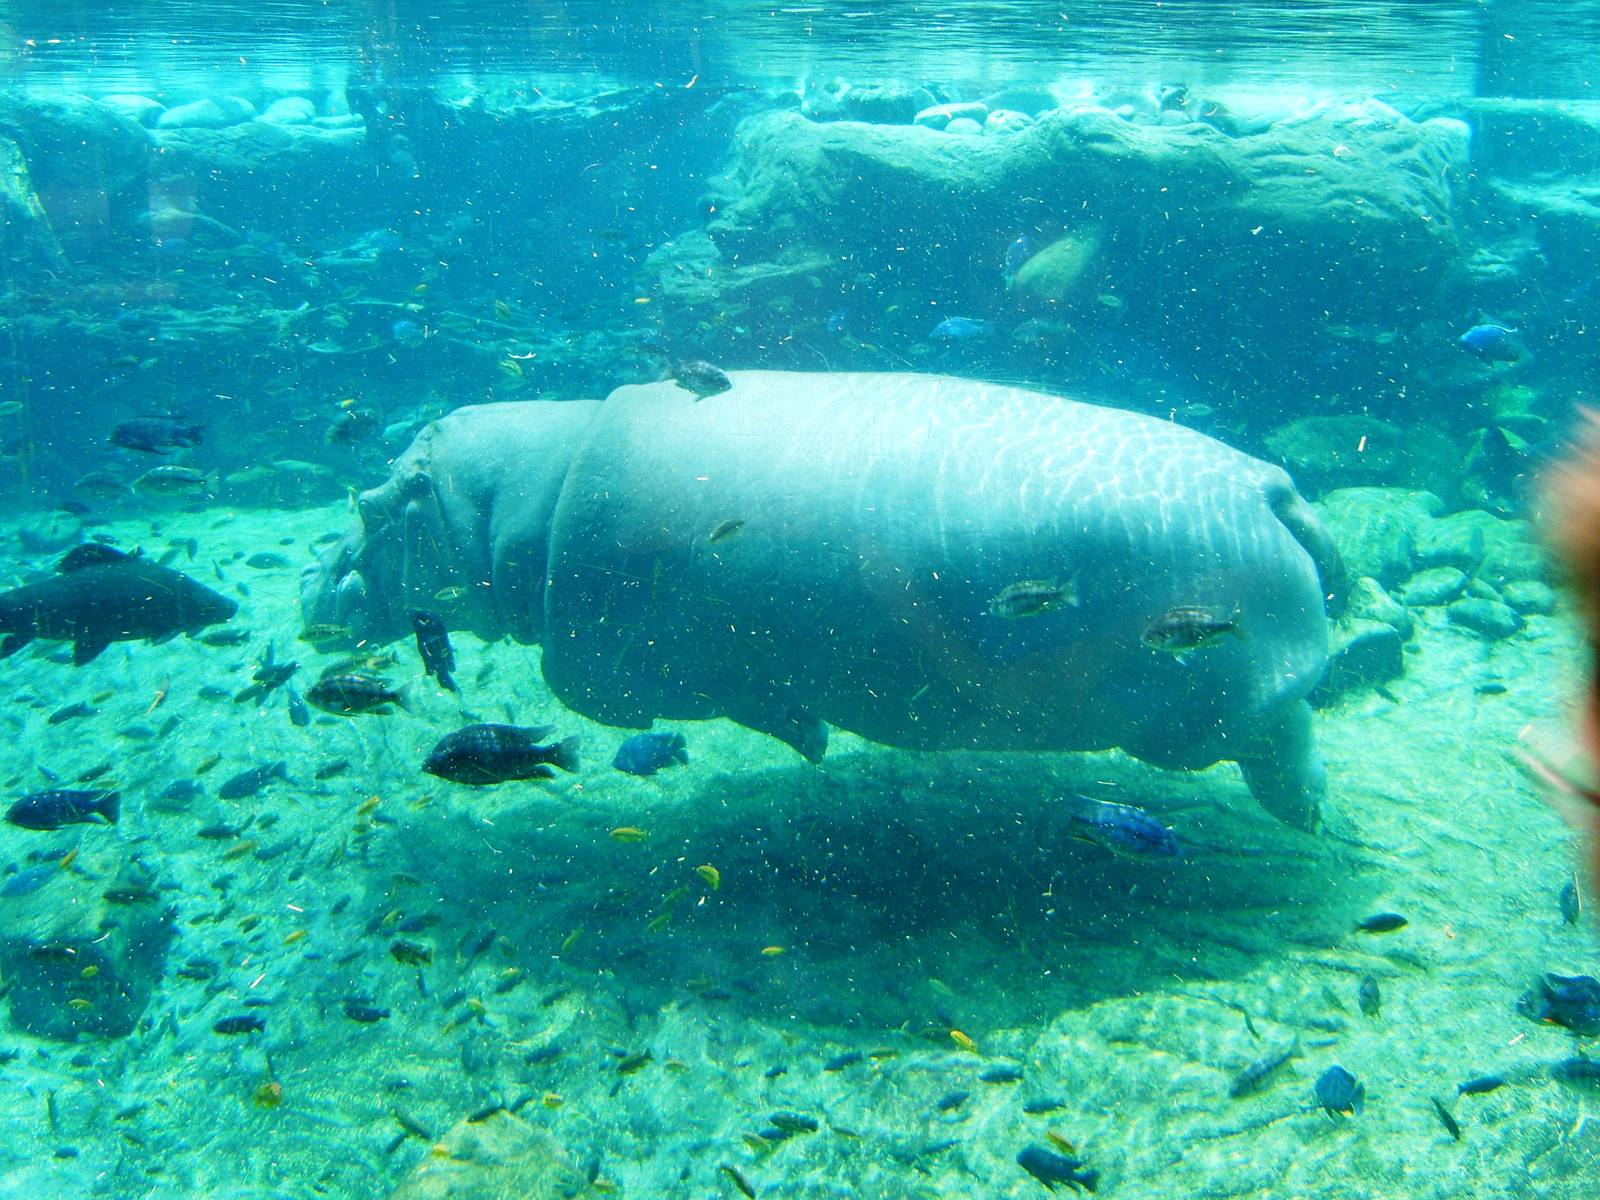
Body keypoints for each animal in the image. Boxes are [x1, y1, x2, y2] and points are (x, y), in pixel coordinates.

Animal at [303, 371, 1344, 829]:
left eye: (383, 499)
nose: (313, 580)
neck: (518, 501)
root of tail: (1272, 486)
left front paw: (806, 743)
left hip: (1213, 707)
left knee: (1282, 737)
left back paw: (1307, 814)